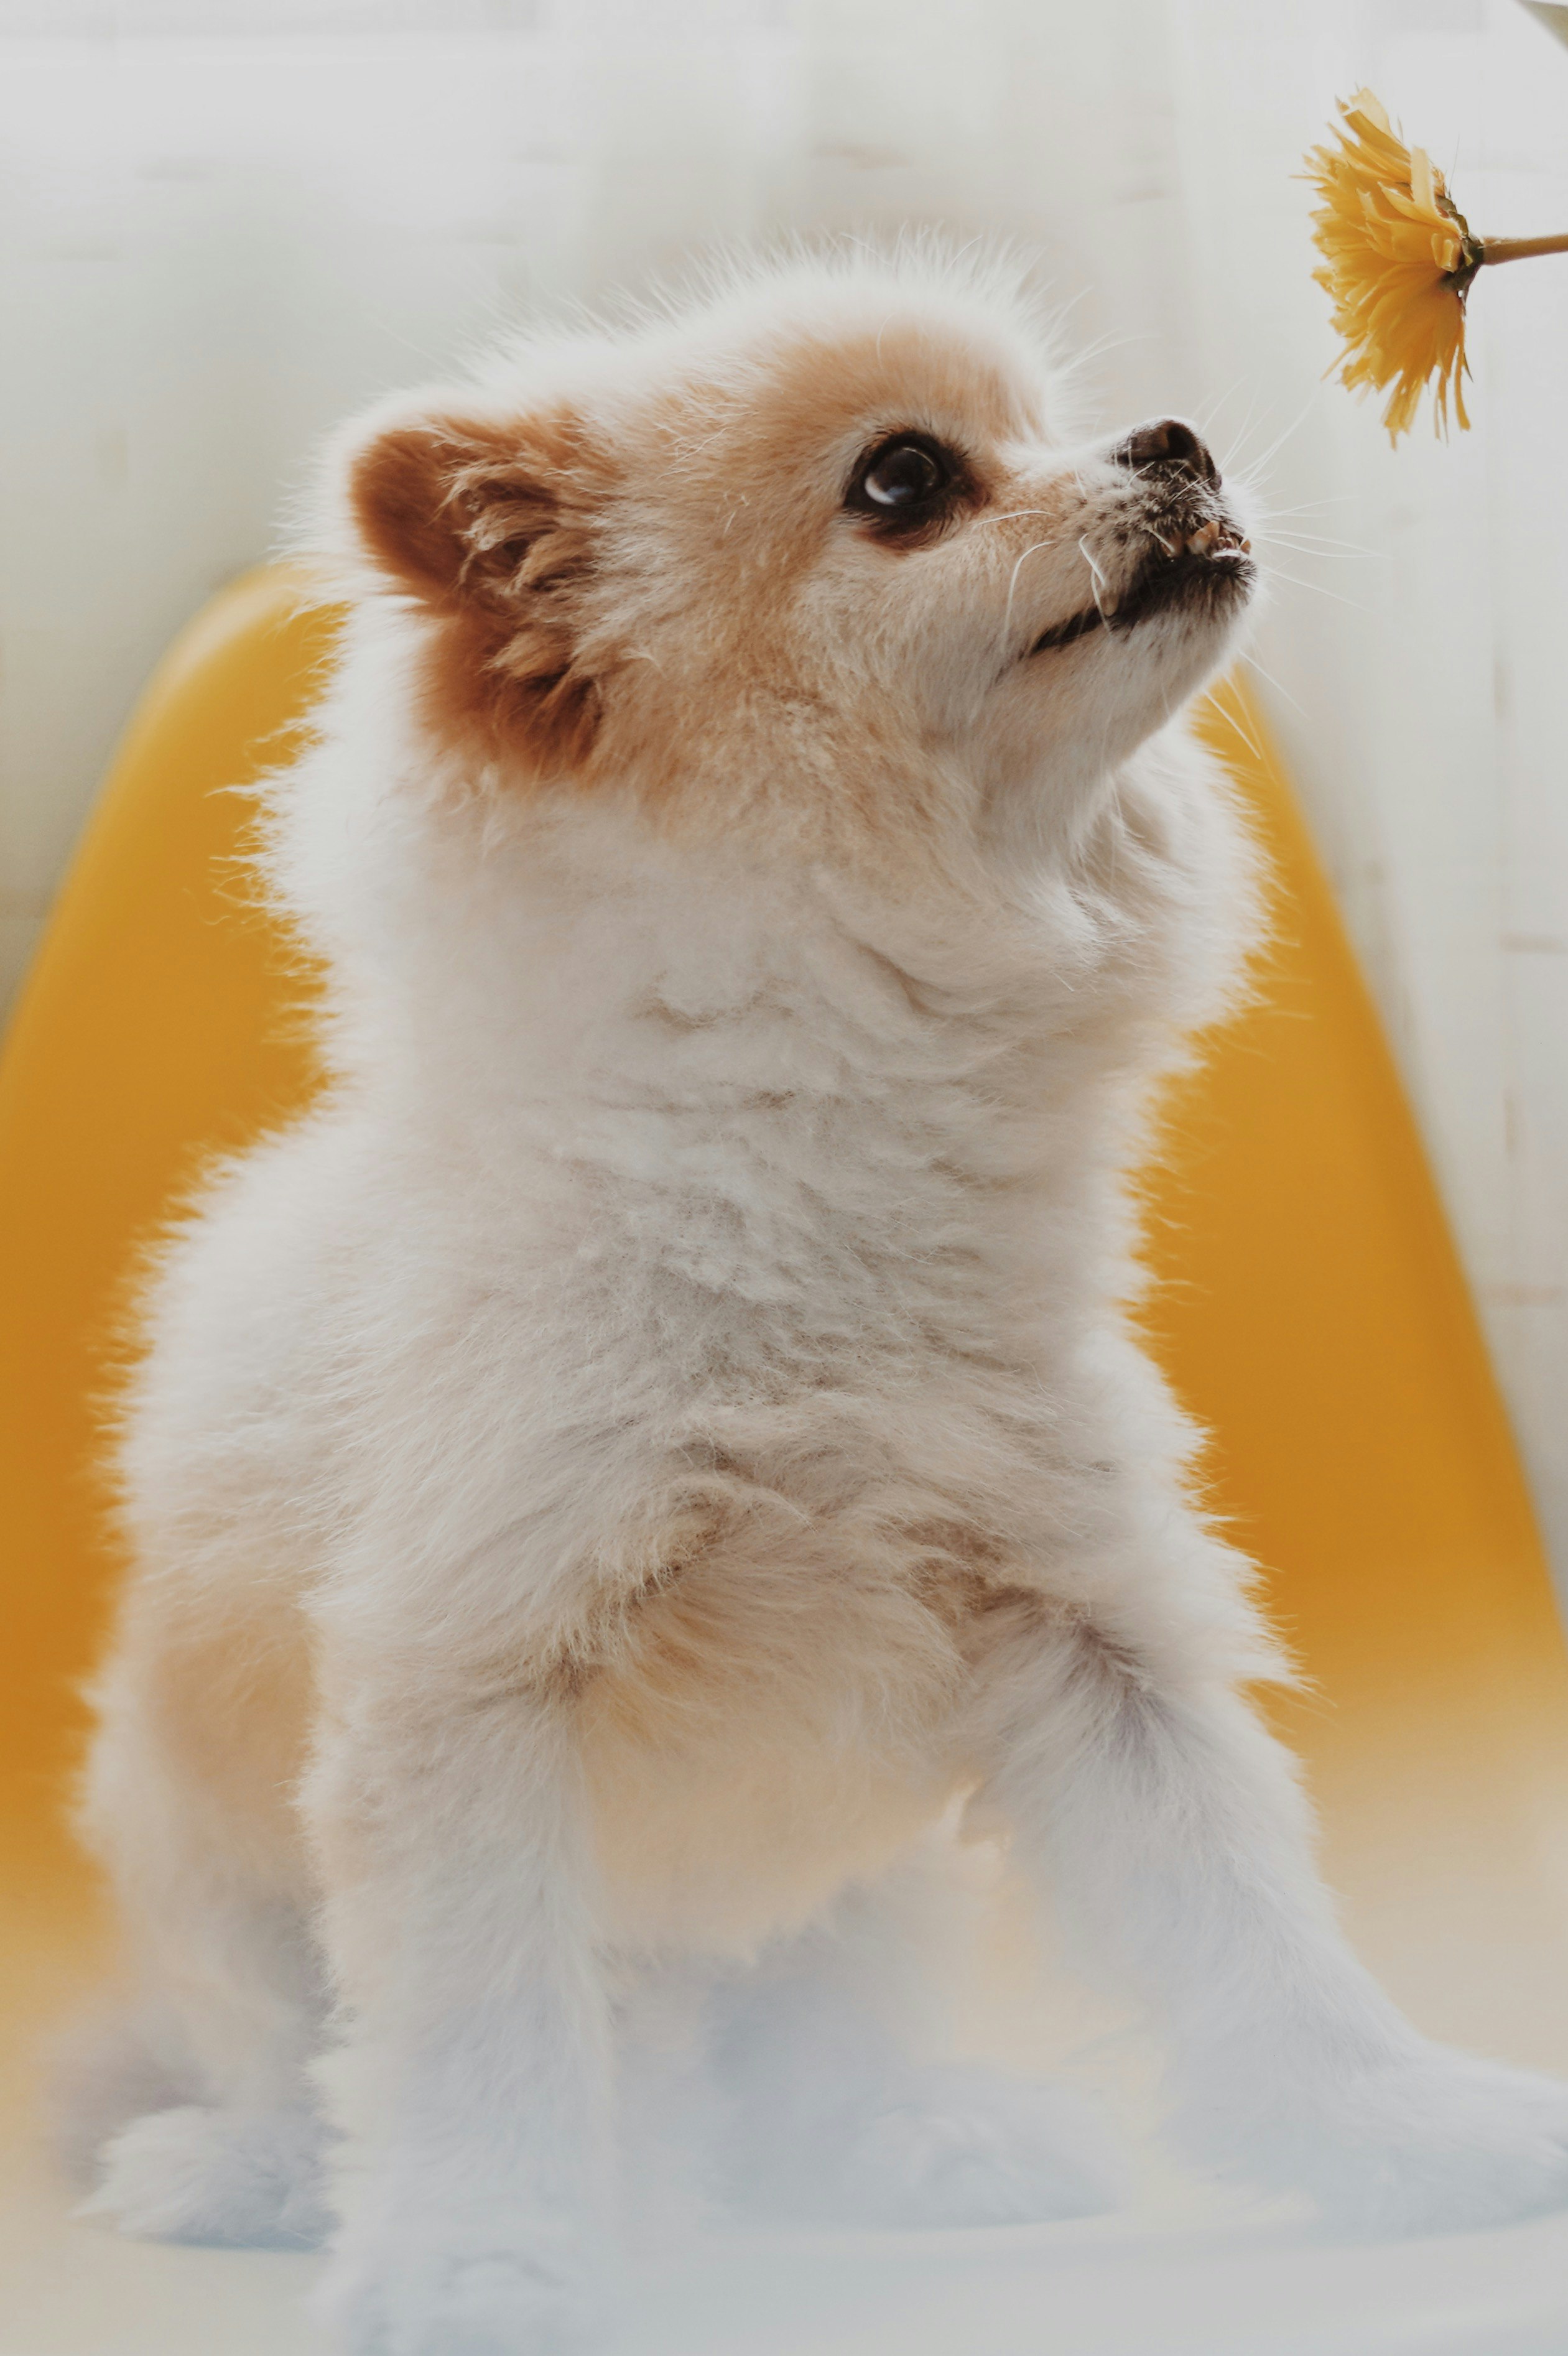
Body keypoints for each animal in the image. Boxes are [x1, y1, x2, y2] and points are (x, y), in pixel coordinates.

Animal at [67, 248, 1563, 2346]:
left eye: (1052, 420)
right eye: (906, 481)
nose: (1173, 436)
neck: (814, 1180)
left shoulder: (1089, 1624)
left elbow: (1250, 1930)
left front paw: (1404, 2131)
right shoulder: (469, 1685)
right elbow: (476, 2034)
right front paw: (482, 2254)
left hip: (889, 1885)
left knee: (822, 2043)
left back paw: (907, 2132)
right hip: (201, 1857)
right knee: (291, 2044)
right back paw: (258, 2165)